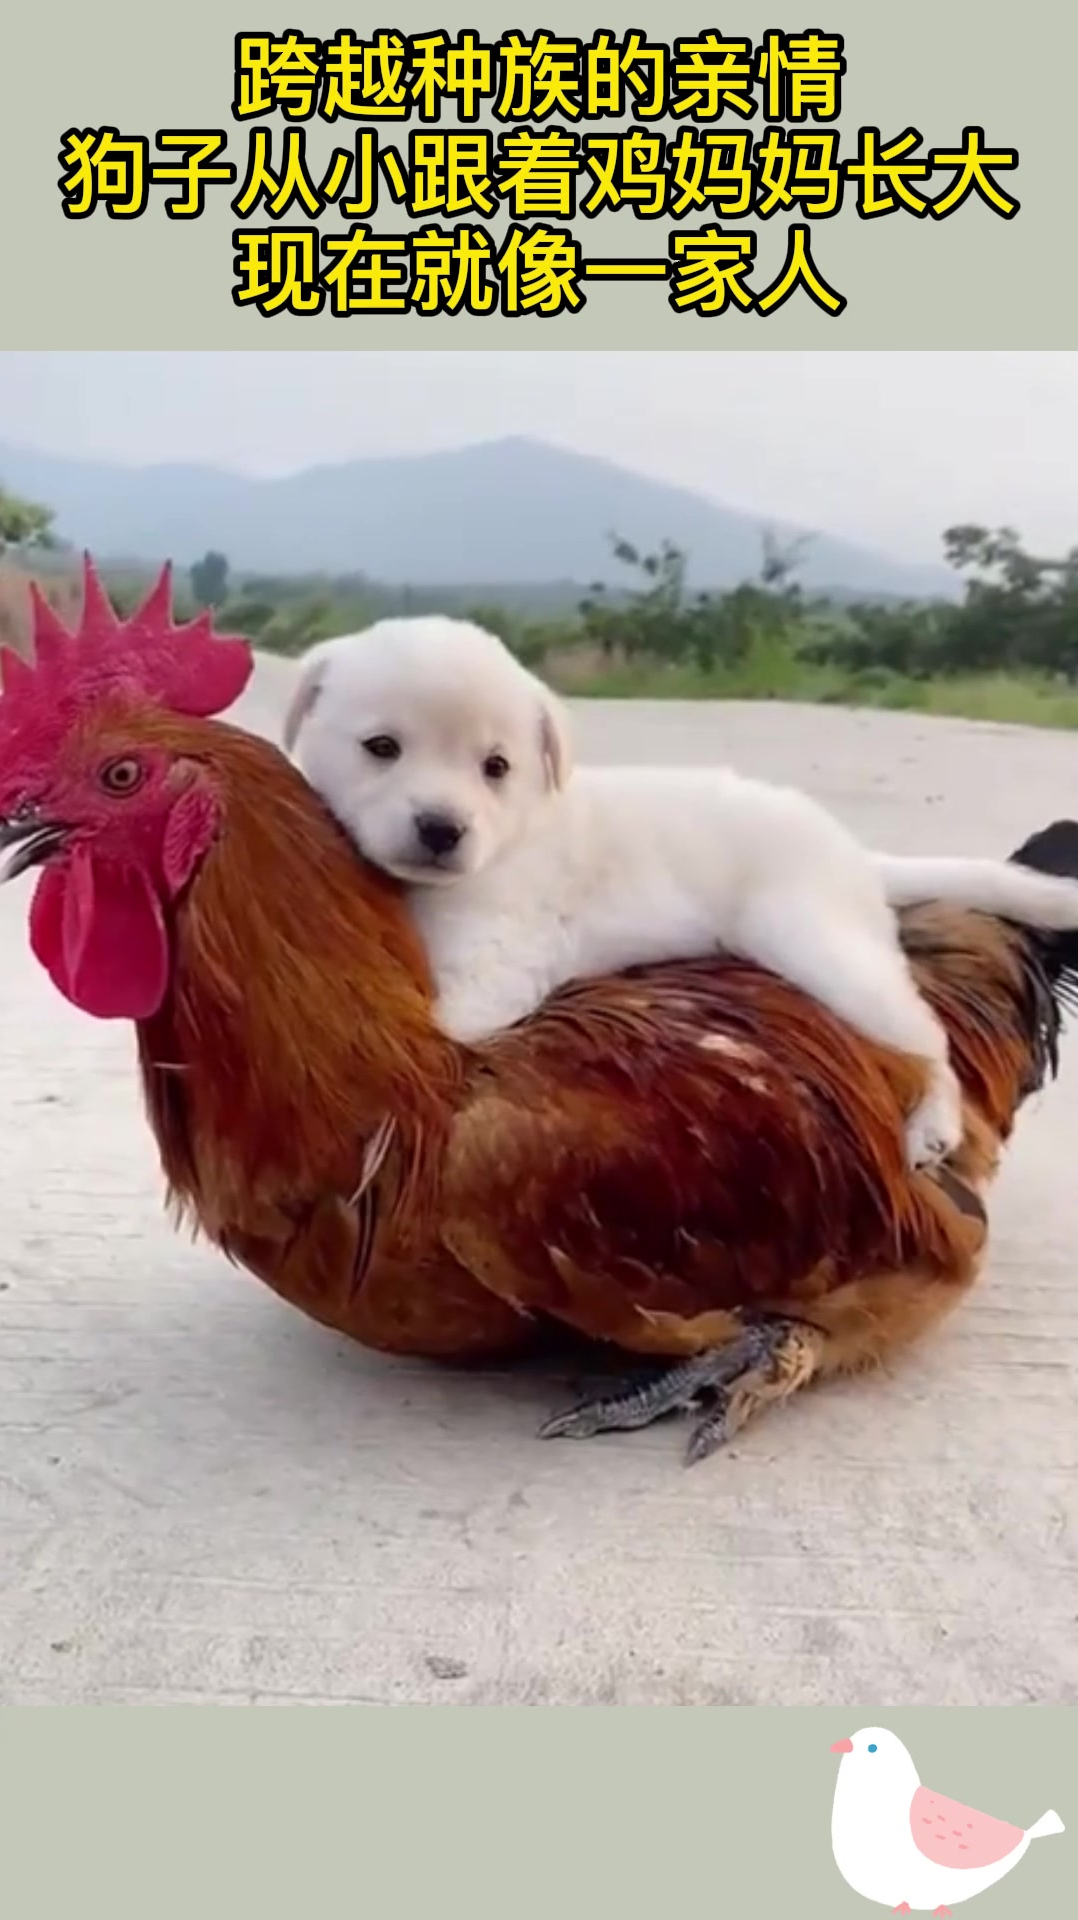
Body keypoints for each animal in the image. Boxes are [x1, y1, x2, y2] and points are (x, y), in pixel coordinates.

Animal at [288, 614, 1078, 1167]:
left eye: (497, 767)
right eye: (381, 748)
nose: (442, 829)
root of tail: (855, 851)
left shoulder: (496, 967)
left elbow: (430, 1031)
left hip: (820, 946)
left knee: (927, 1035)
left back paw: (933, 1126)